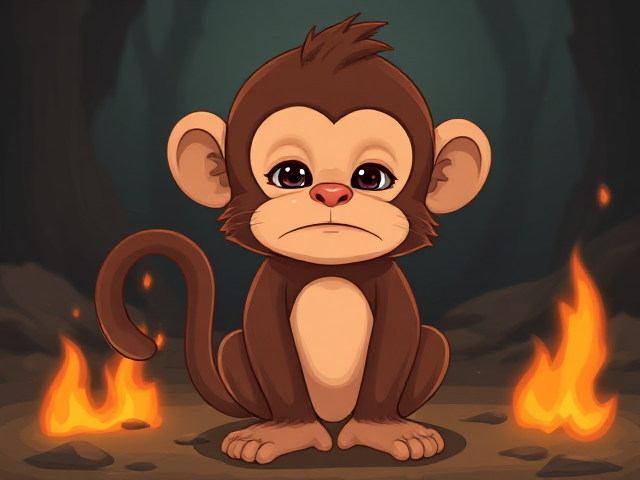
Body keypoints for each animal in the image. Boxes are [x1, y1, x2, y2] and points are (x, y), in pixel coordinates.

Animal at [95, 14, 491, 465]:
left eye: (371, 177)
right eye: (291, 175)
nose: (332, 193)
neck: (329, 271)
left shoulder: (390, 284)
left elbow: (397, 338)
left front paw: (384, 429)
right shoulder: (271, 284)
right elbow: (269, 344)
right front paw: (287, 432)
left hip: (435, 350)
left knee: (434, 342)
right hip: (235, 357)